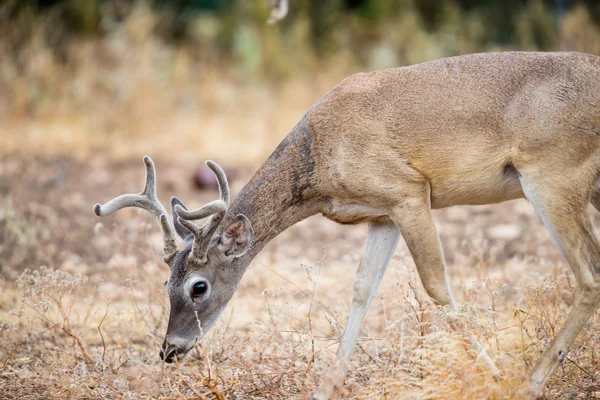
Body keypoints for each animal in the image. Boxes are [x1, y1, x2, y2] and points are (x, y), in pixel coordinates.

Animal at [95, 51, 600, 398]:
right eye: (165, 283)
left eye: (198, 286)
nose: (169, 350)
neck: (319, 158)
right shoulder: (382, 213)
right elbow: (361, 290)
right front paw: (325, 386)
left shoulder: (409, 191)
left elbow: (436, 287)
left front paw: (494, 375)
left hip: (553, 174)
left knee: (589, 277)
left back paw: (530, 381)